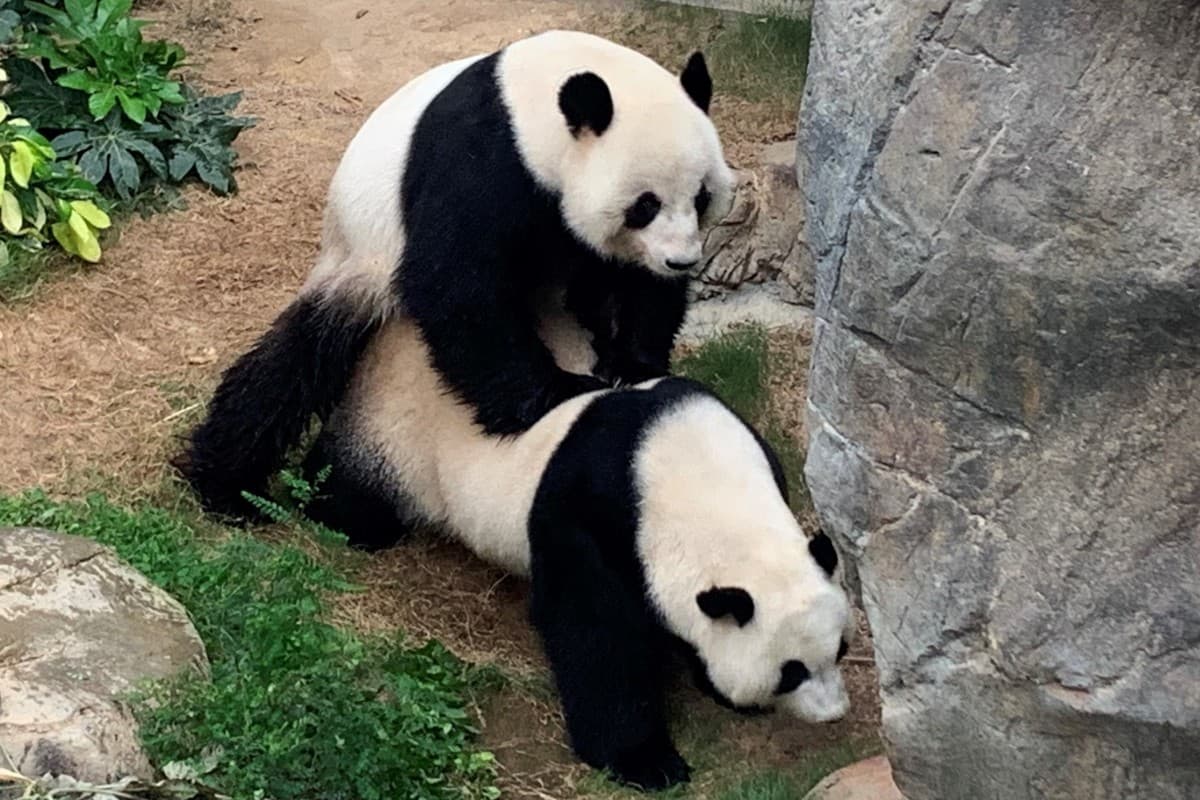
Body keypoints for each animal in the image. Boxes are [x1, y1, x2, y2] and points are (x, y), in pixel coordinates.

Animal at [174, 30, 736, 518]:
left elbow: (631, 284)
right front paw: (556, 391)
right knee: (292, 367)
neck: (535, 108)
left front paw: (632, 363)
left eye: (701, 196)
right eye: (645, 205)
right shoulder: (482, 159)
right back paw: (226, 487)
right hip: (358, 259)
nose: (681, 261)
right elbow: (455, 284)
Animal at [301, 308, 854, 791]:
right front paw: (646, 762)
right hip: (398, 433)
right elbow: (593, 632)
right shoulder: (591, 514)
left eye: (841, 650)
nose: (834, 714)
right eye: (791, 673)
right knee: (352, 487)